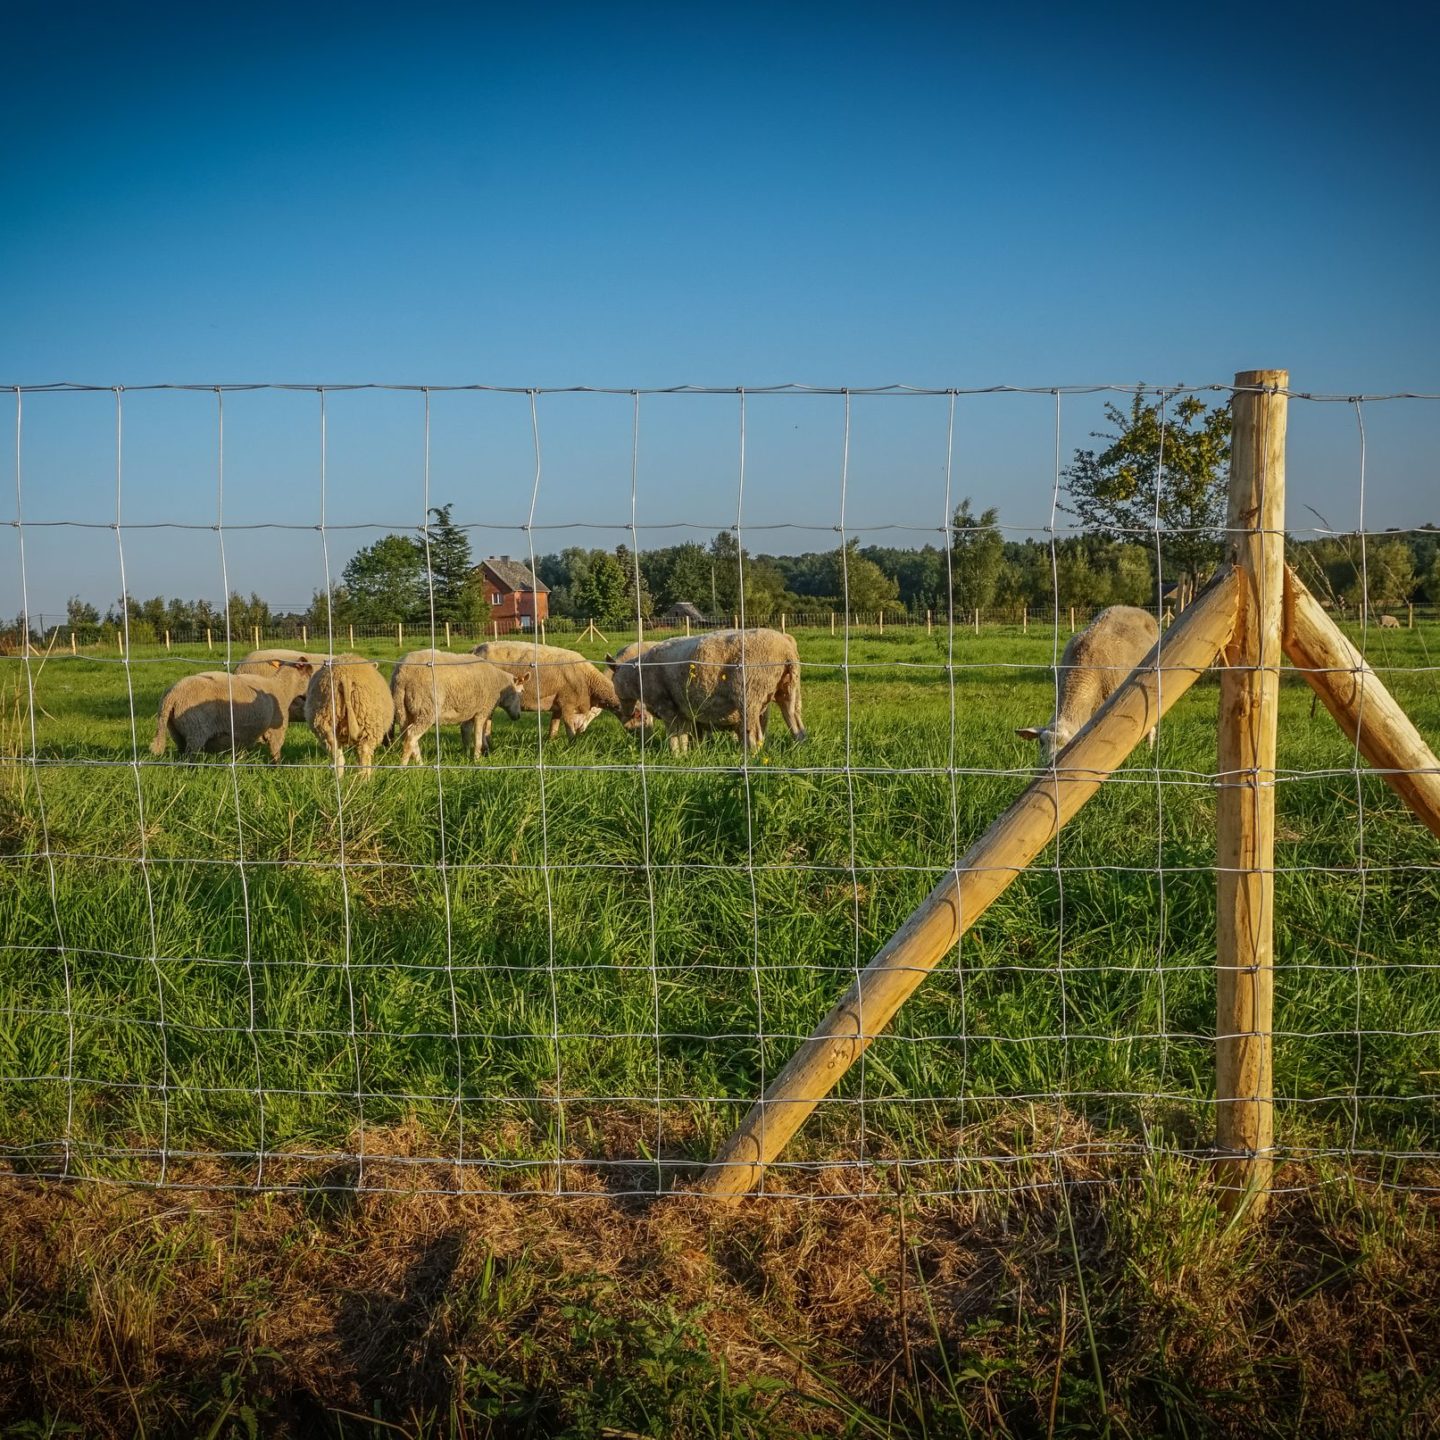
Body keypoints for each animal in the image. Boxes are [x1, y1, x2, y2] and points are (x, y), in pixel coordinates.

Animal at [150, 671, 291, 763]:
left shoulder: (243, 735)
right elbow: (275, 753)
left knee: (181, 752)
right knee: (190, 757)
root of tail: (170, 697)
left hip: (176, 731)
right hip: (195, 730)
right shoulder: (276, 731)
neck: (280, 685)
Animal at [389, 649, 524, 764]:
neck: (498, 683)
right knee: (412, 735)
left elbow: (466, 735)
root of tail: (403, 672)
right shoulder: (482, 711)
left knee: (407, 736)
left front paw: (466, 756)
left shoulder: (469, 713)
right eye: (521, 692)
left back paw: (420, 764)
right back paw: (404, 766)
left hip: (403, 709)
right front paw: (477, 760)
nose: (518, 716)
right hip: (427, 708)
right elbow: (478, 740)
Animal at [607, 627, 805, 752]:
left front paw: (676, 756)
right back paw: (799, 749)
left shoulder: (667, 707)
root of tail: (785, 648)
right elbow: (686, 737)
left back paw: (752, 757)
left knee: (754, 736)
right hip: (788, 689)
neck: (637, 677)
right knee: (795, 722)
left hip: (750, 694)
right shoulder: (684, 712)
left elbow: (674, 737)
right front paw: (687, 756)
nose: (628, 713)